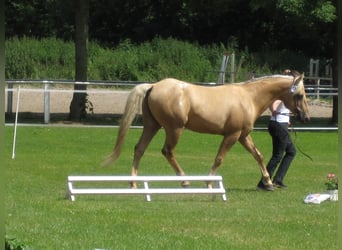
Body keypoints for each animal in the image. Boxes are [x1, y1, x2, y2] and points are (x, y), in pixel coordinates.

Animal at [102, 70, 310, 189]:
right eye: (300, 95)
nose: (305, 117)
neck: (248, 97)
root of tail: (153, 86)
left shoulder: (243, 136)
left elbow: (257, 155)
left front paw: (268, 183)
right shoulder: (232, 135)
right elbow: (219, 158)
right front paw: (209, 182)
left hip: (152, 126)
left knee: (139, 149)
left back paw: (133, 183)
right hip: (174, 129)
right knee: (168, 151)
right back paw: (185, 181)